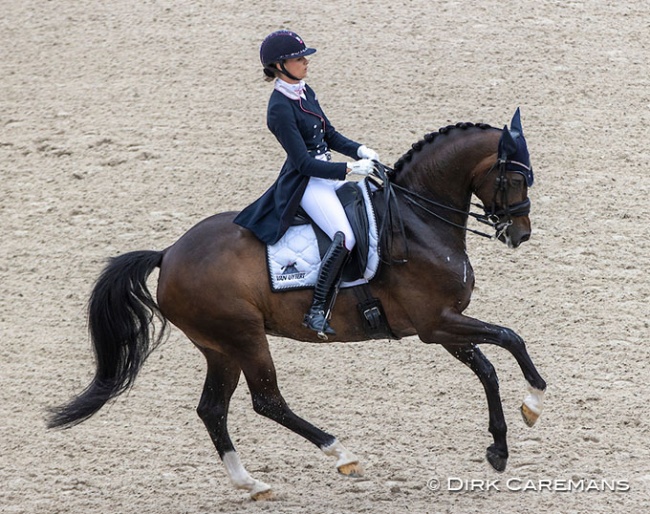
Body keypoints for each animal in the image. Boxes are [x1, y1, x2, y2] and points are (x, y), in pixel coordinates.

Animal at [48, 109, 548, 500]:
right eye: (514, 177)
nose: (520, 234)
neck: (417, 221)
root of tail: (168, 254)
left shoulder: (445, 326)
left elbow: (489, 366)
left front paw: (500, 446)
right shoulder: (437, 324)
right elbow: (510, 338)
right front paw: (534, 403)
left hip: (219, 348)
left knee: (212, 409)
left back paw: (251, 484)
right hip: (244, 338)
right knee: (268, 401)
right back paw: (342, 454)